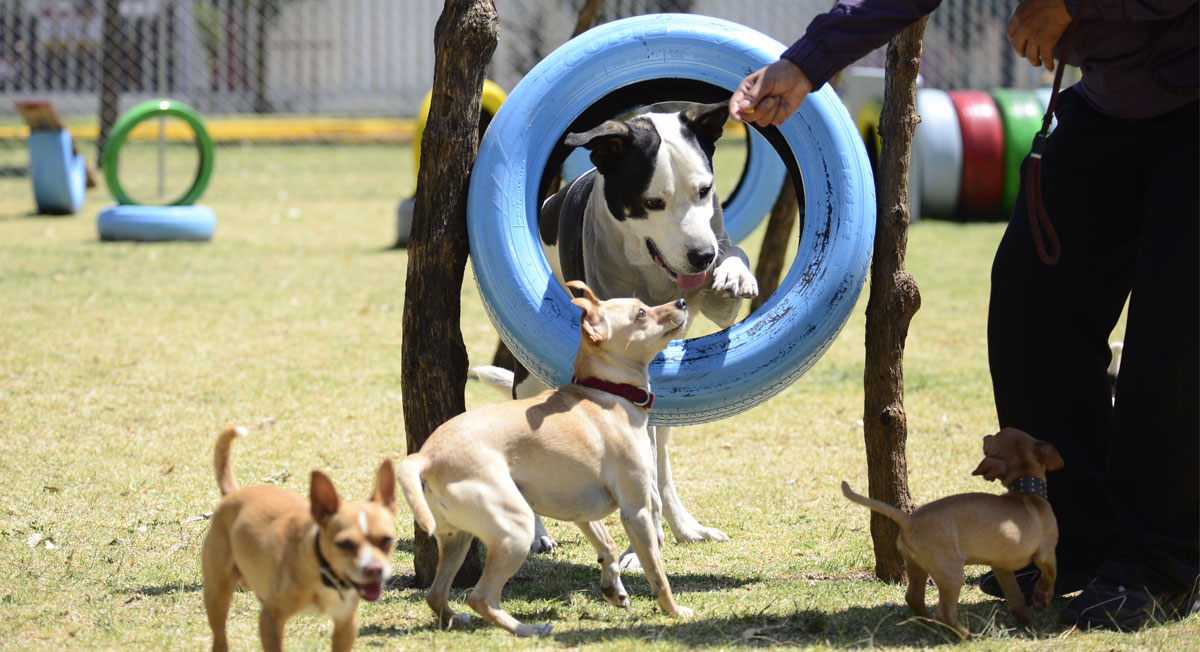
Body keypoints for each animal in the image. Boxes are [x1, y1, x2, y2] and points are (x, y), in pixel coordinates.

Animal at [201, 427, 396, 652]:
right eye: (344, 544)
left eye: (387, 540)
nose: (375, 569)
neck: (322, 571)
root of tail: (234, 493)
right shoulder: (270, 619)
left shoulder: (346, 624)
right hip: (217, 593)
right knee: (220, 638)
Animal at [396, 282, 691, 638]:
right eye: (641, 314)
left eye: (643, 305)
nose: (682, 302)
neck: (608, 392)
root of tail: (425, 456)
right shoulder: (637, 512)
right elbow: (657, 574)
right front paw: (673, 610)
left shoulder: (580, 511)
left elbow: (606, 546)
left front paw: (614, 589)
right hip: (516, 529)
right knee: (481, 597)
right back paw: (528, 628)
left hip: (457, 538)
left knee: (435, 593)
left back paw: (456, 619)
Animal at [477, 99, 758, 564]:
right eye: (653, 201)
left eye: (704, 190)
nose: (701, 257)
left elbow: (732, 256)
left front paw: (735, 274)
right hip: (529, 376)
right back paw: (537, 533)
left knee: (660, 457)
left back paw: (684, 526)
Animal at [840, 425, 1065, 633]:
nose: (985, 436)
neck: (1025, 491)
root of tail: (909, 520)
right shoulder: (1046, 553)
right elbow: (1051, 576)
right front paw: (1042, 598)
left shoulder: (1001, 567)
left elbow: (1015, 596)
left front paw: (1026, 622)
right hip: (952, 574)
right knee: (945, 613)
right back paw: (969, 636)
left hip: (916, 566)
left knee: (913, 597)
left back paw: (930, 625)